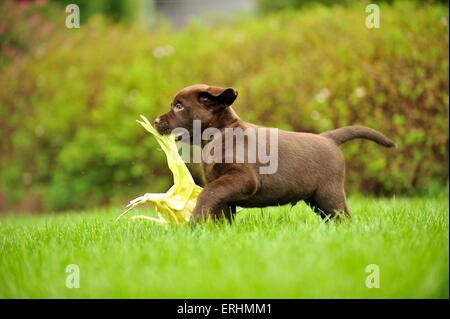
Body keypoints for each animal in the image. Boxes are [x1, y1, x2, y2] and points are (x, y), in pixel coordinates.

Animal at [154, 85, 394, 225]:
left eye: (178, 106)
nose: (156, 121)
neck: (220, 134)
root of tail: (328, 138)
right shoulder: (224, 186)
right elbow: (220, 207)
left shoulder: (242, 178)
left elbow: (208, 194)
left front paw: (194, 223)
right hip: (317, 198)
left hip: (329, 194)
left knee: (344, 217)